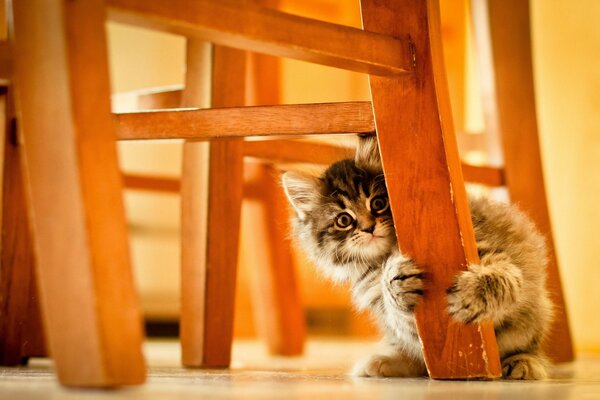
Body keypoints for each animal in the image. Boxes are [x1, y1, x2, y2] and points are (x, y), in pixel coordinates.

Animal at [282, 135, 552, 382]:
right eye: (344, 220)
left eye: (378, 203)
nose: (369, 228)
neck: (383, 256)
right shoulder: (385, 307)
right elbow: (400, 314)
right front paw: (396, 283)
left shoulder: (487, 248)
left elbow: (500, 276)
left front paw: (473, 296)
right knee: (418, 361)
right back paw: (385, 361)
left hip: (533, 316)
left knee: (527, 344)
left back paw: (523, 362)